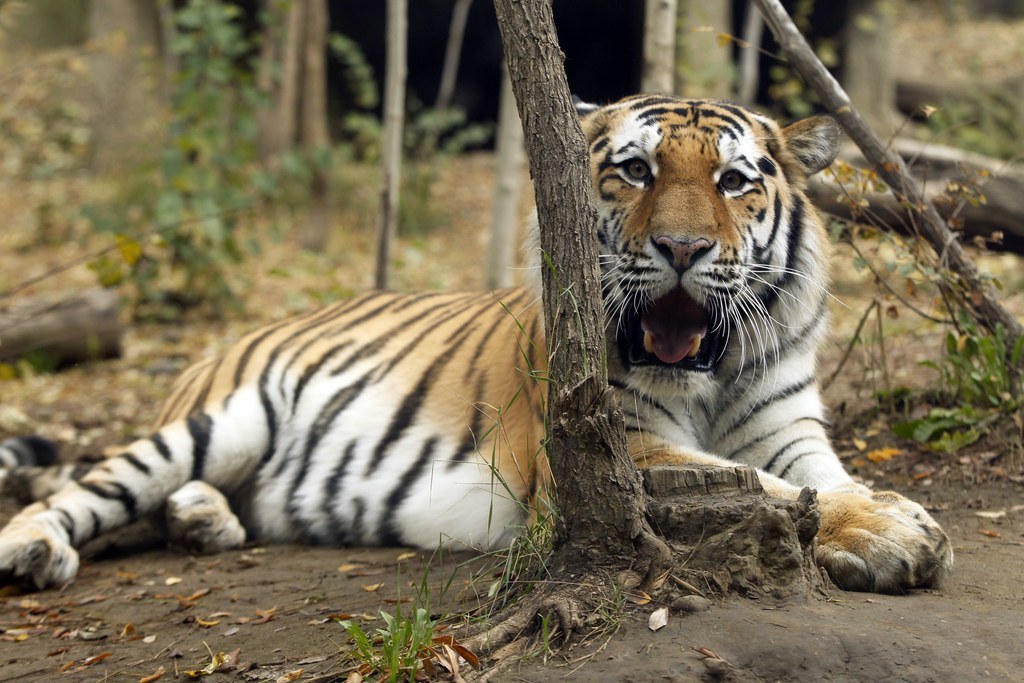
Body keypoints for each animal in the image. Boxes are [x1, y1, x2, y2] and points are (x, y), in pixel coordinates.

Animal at [0, 94, 950, 593]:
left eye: (733, 181)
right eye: (635, 170)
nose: (682, 249)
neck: (711, 376)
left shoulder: (789, 426)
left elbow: (819, 479)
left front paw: (880, 515)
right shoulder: (613, 443)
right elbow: (769, 490)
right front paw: (895, 533)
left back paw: (205, 521)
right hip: (214, 422)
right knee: (88, 488)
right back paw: (32, 548)